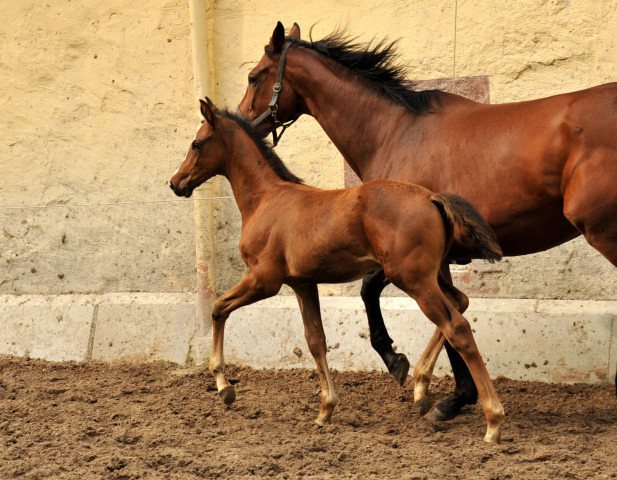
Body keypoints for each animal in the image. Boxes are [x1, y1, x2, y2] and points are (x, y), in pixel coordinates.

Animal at [170, 97, 506, 442]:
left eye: (197, 144)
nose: (175, 183)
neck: (266, 200)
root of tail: (432, 198)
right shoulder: (303, 284)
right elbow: (315, 340)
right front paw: (325, 410)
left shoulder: (264, 280)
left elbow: (218, 307)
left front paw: (224, 387)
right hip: (432, 275)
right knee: (461, 303)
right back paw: (421, 388)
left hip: (413, 280)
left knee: (458, 327)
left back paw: (492, 421)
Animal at [238, 21, 616, 420]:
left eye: (253, 77)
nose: (241, 120)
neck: (394, 132)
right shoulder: (436, 258)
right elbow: (453, 311)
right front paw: (457, 395)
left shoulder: (406, 256)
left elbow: (378, 293)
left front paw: (403, 366)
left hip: (605, 233)